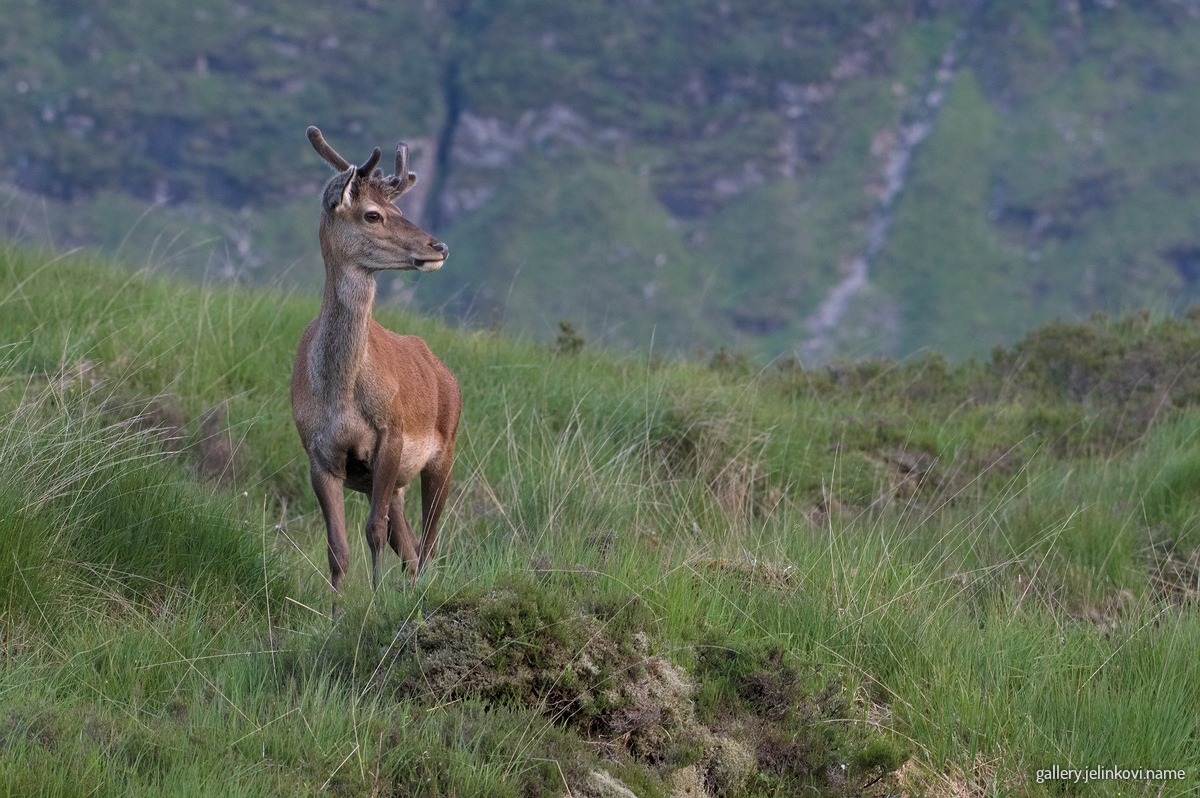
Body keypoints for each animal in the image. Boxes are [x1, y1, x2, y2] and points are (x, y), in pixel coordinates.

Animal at [291, 126, 461, 602]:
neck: (339, 395)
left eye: (399, 208)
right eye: (372, 214)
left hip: (446, 450)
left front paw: (372, 600)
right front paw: (336, 611)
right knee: (411, 544)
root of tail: (446, 374)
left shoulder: (392, 435)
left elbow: (374, 530)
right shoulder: (320, 454)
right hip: (392, 481)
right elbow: (338, 546)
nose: (439, 245)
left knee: (429, 539)